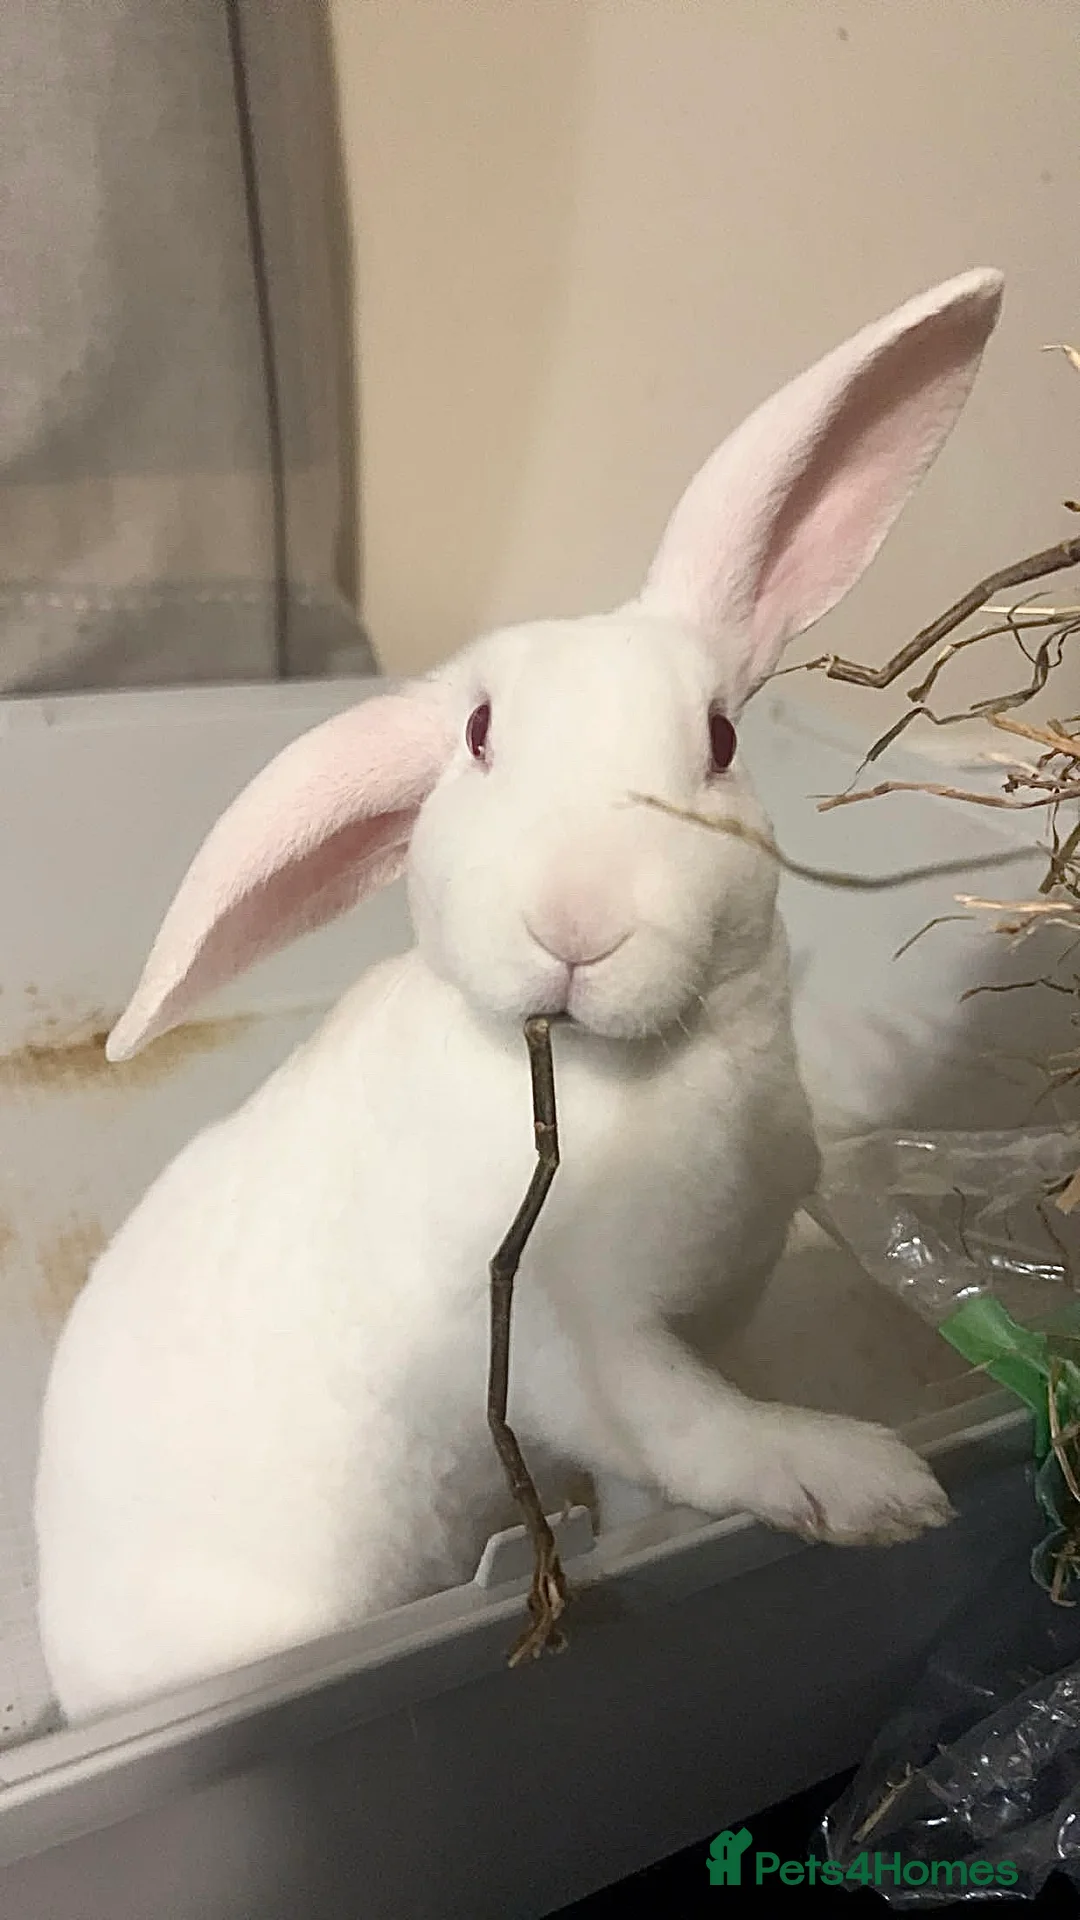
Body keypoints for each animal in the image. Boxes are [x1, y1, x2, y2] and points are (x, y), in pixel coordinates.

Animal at [34, 267, 1004, 1724]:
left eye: (720, 739)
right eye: (481, 738)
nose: (577, 924)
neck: (622, 1070)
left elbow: (664, 1470)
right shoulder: (577, 1346)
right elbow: (696, 1432)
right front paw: (871, 1486)